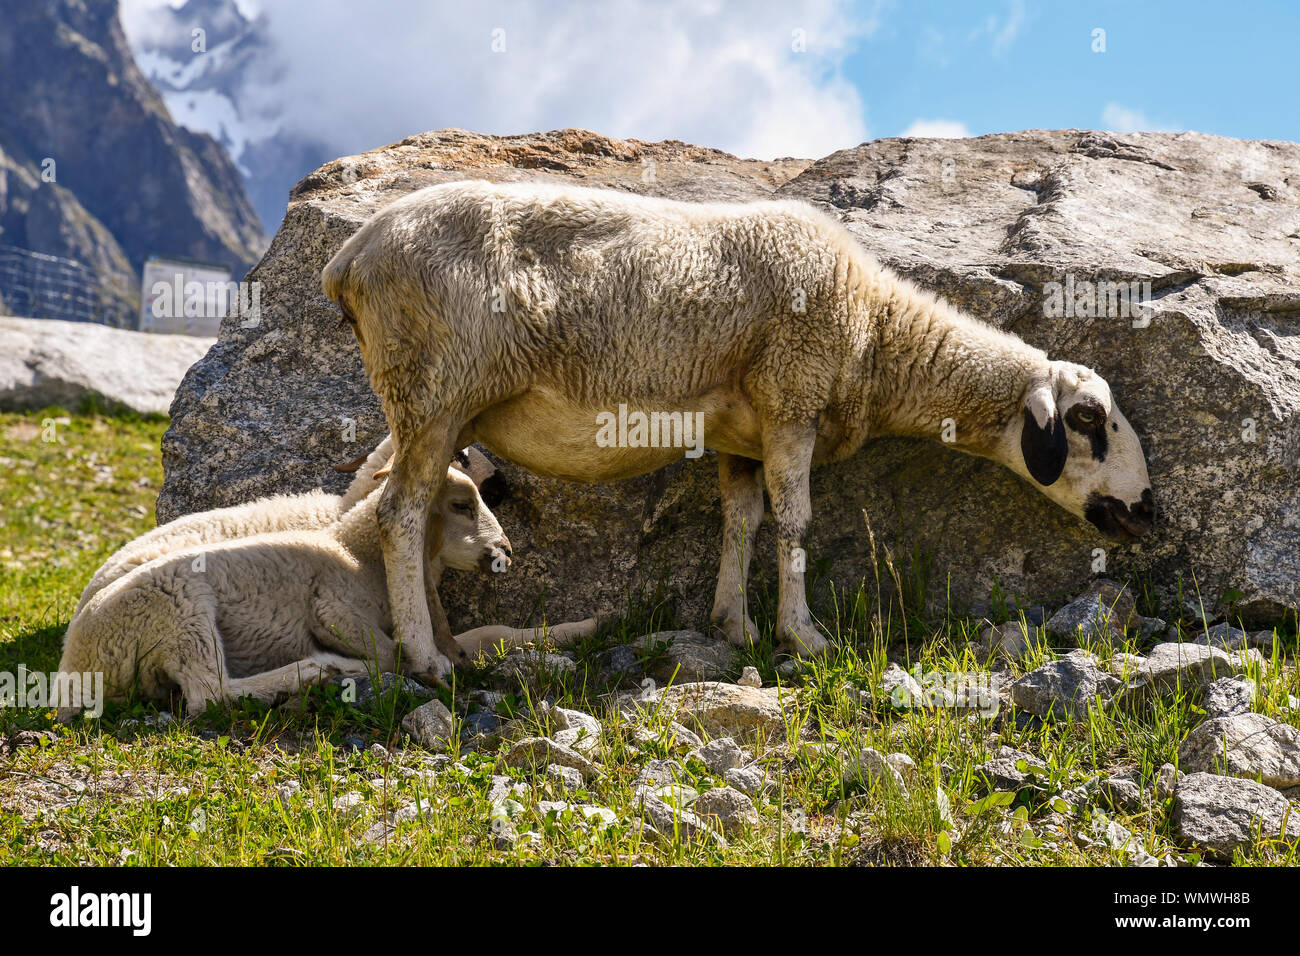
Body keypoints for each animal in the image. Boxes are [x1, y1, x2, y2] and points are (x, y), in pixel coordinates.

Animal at [325, 179, 1159, 681]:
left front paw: (735, 625)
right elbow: (793, 522)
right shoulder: (792, 397)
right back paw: (426, 660)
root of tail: (351, 256)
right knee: (400, 516)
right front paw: (803, 636)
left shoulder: (741, 437)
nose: (1149, 508)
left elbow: (741, 521)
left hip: (428, 399)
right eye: (1088, 422)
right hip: (432, 389)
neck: (876, 337)